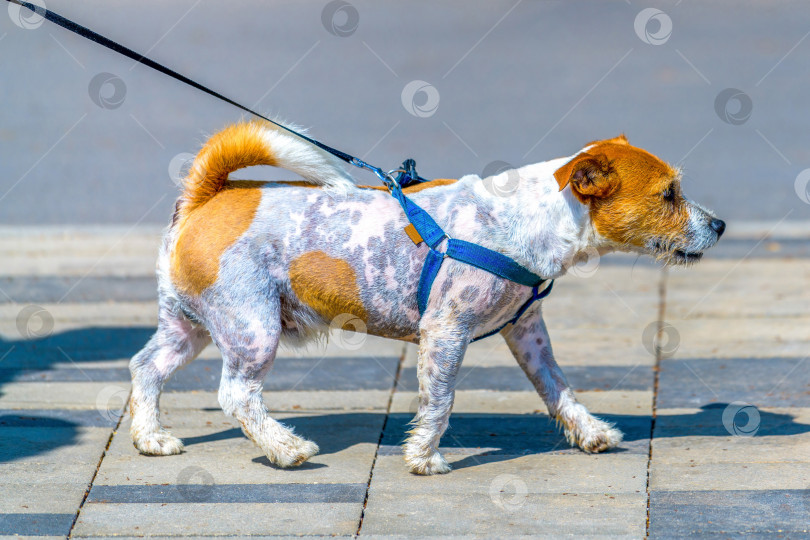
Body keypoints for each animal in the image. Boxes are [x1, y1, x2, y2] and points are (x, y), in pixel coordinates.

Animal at [128, 120, 724, 474]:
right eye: (668, 194)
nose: (718, 225)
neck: (527, 219)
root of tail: (207, 196)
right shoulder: (445, 332)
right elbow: (439, 402)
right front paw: (423, 456)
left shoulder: (527, 331)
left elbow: (558, 388)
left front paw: (592, 432)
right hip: (252, 329)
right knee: (237, 395)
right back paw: (286, 448)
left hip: (190, 326)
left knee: (146, 367)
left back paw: (151, 437)